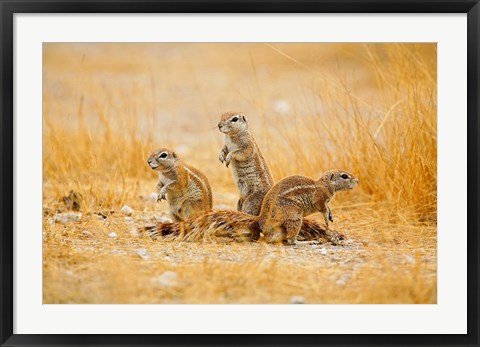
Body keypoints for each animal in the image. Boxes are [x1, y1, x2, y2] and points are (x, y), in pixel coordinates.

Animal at [142, 169, 356, 245]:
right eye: (344, 175)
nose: (357, 181)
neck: (324, 184)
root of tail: (260, 219)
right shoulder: (321, 198)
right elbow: (323, 207)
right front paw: (328, 216)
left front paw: (331, 217)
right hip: (294, 216)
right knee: (289, 240)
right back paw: (306, 242)